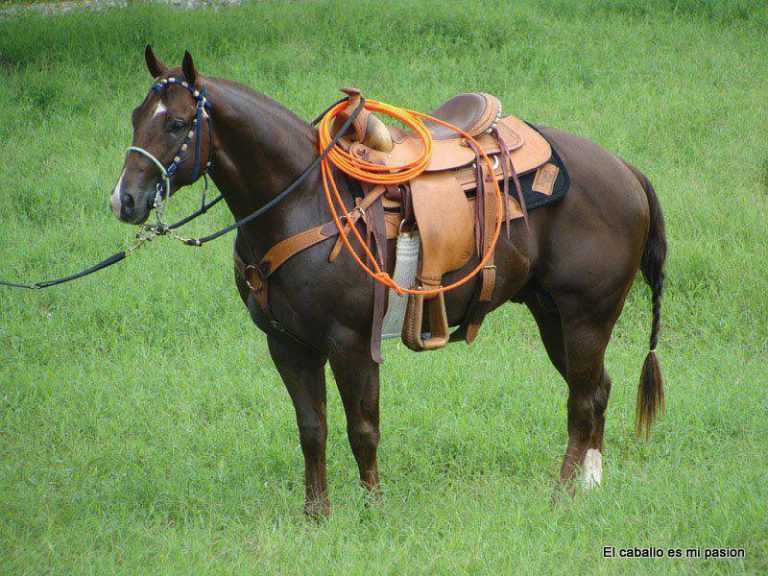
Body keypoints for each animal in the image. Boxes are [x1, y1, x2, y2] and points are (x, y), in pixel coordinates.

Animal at [110, 46, 667, 516]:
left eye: (177, 122)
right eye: (136, 117)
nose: (124, 200)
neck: (303, 200)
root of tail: (626, 171)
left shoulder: (351, 342)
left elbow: (363, 429)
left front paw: (373, 511)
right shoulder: (287, 344)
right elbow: (312, 429)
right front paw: (316, 516)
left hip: (586, 316)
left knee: (582, 400)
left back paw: (563, 494)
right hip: (553, 314)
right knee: (597, 389)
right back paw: (591, 485)